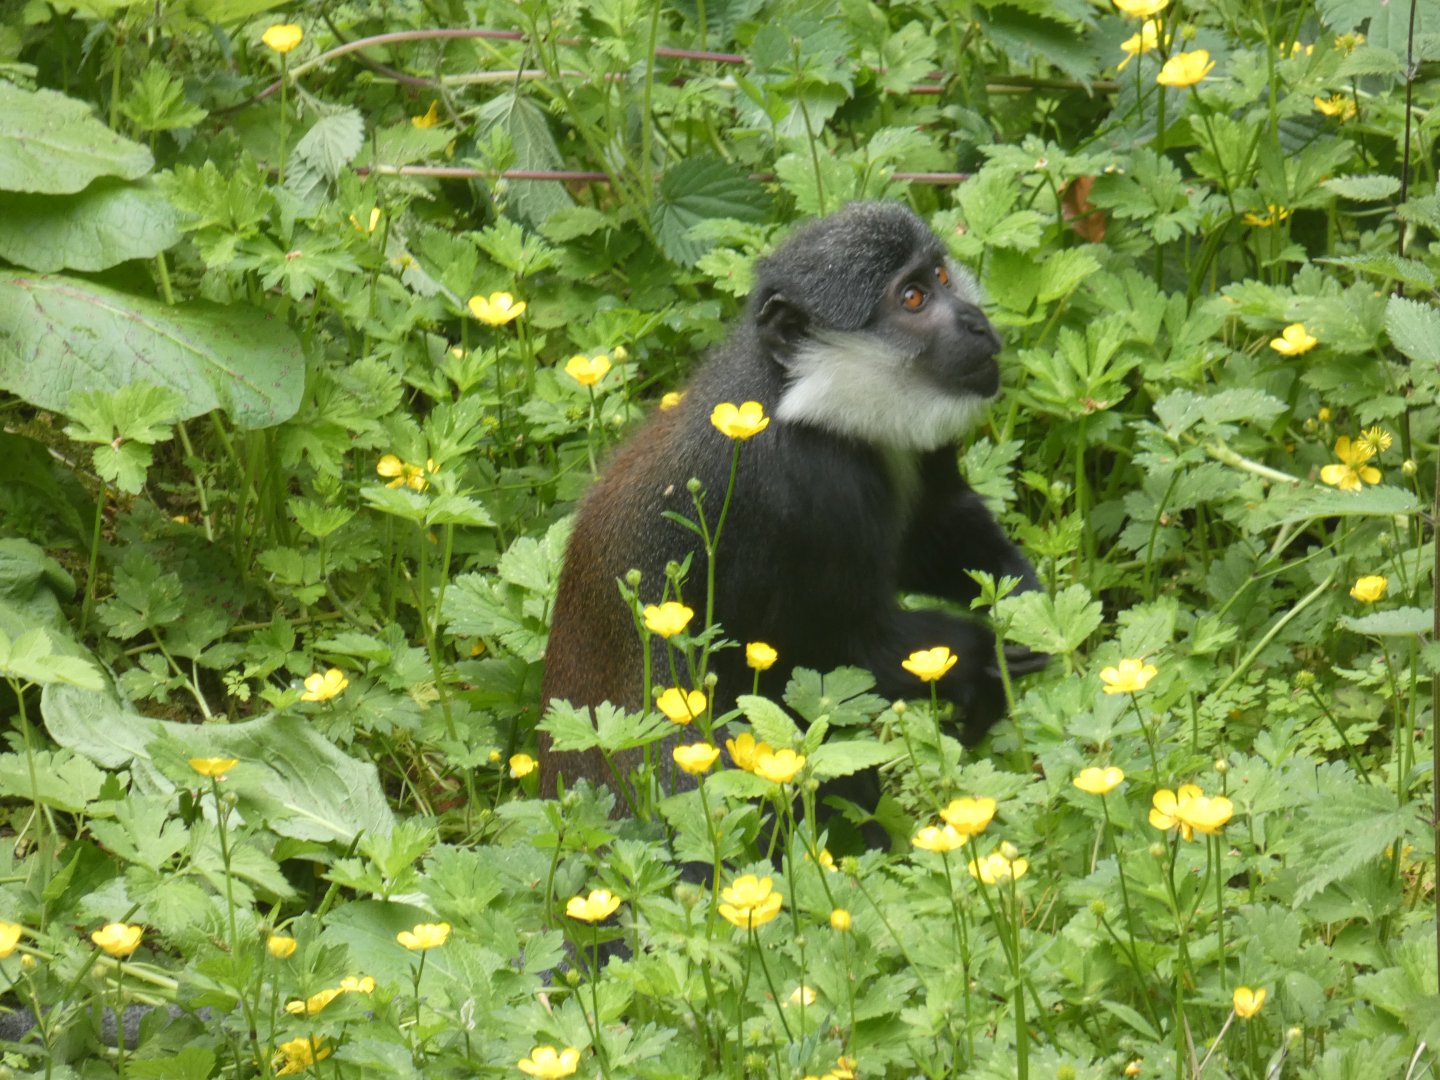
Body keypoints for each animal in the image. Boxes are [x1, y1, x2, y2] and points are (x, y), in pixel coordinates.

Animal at [538, 201, 1045, 806]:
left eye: (942, 276)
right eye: (913, 298)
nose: (975, 321)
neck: (810, 402)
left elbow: (934, 528)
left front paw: (1021, 593)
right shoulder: (806, 489)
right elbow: (843, 650)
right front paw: (988, 656)